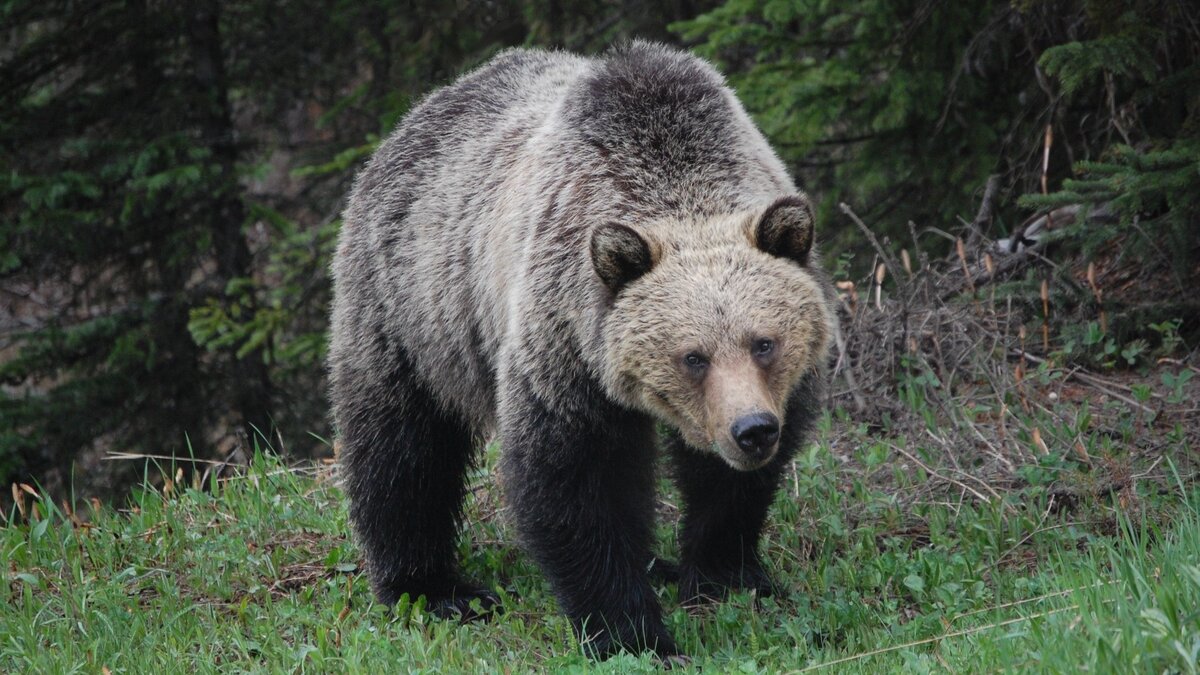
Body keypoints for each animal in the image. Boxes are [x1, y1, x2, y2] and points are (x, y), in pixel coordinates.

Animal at [328, 40, 835, 658]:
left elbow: (729, 486)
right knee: (403, 448)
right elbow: (578, 479)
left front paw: (727, 574)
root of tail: (415, 115)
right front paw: (633, 633)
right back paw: (434, 588)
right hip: (412, 307)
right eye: (693, 356)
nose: (752, 430)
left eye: (764, 343)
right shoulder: (565, 341)